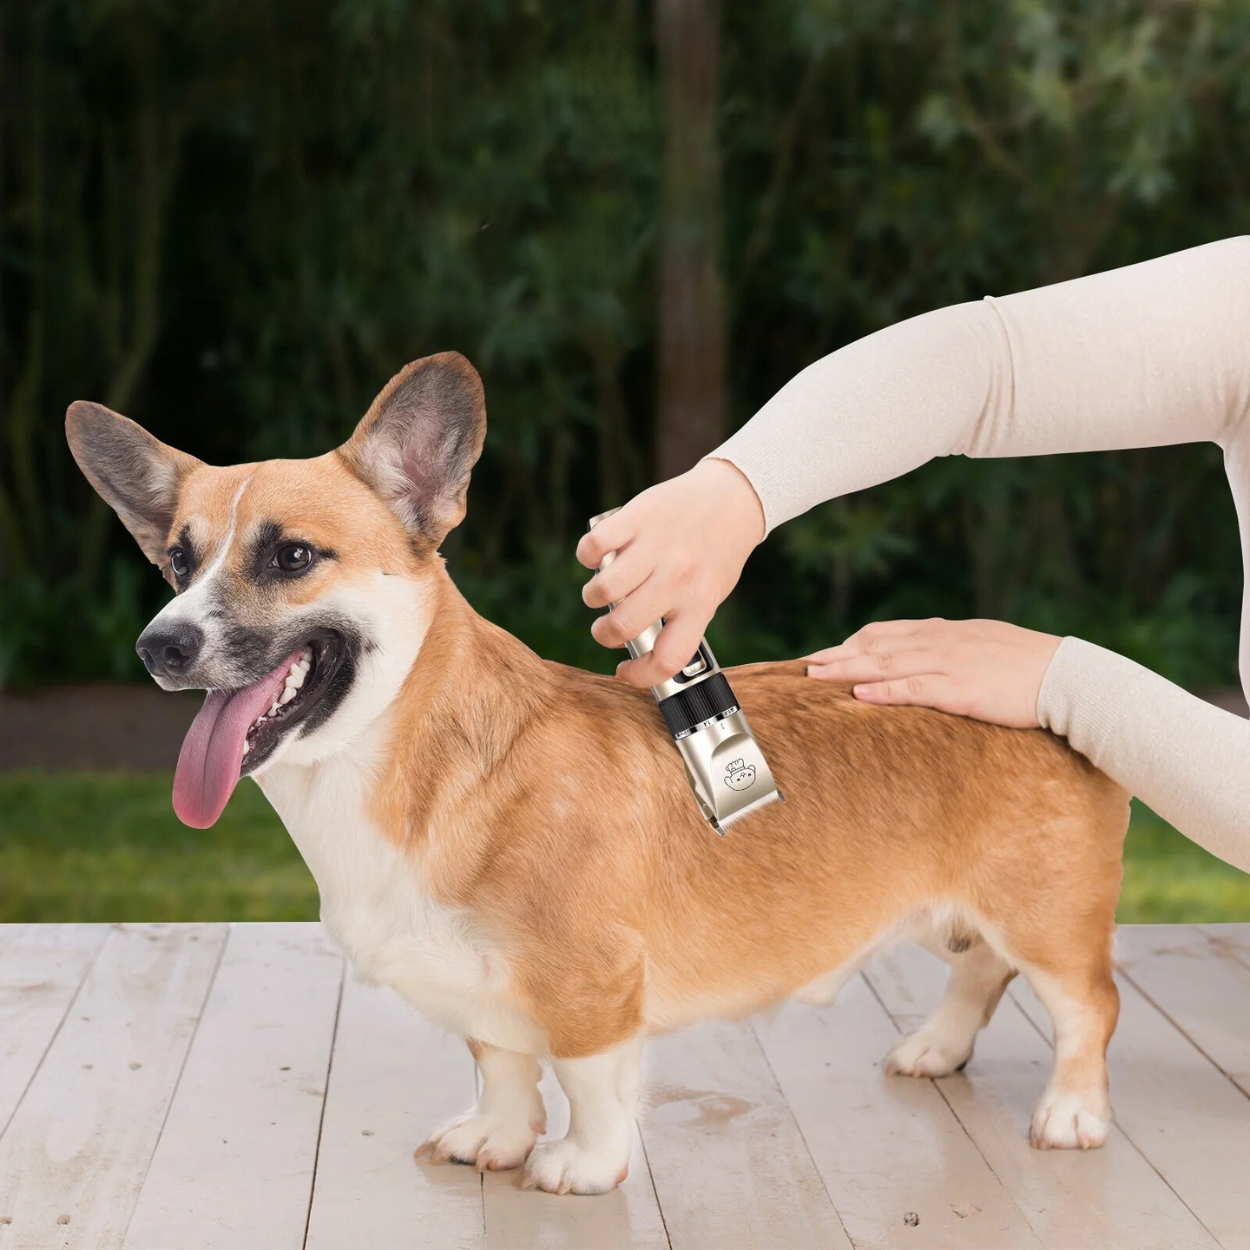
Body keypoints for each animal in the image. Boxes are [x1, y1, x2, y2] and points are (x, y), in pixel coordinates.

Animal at [63, 350, 1130, 1190]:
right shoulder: (486, 998)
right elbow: (500, 1064)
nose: (157, 646)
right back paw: (936, 1049)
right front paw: (496, 1140)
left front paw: (581, 1164)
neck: (406, 762)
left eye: (290, 556)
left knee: (1088, 1007)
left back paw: (1072, 1114)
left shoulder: (592, 989)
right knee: (981, 970)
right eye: (176, 562)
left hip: (1048, 919)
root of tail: (1041, 687)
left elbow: (588, 1082)